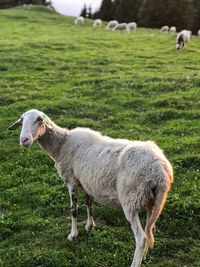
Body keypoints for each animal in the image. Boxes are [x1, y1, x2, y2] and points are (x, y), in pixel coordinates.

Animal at [8, 109, 173, 267]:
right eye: (21, 121)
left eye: (38, 119)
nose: (24, 140)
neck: (62, 144)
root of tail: (160, 171)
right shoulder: (86, 181)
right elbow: (88, 203)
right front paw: (89, 225)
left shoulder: (72, 180)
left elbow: (73, 209)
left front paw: (73, 235)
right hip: (154, 201)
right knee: (149, 230)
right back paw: (143, 256)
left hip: (130, 199)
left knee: (141, 238)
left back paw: (135, 262)